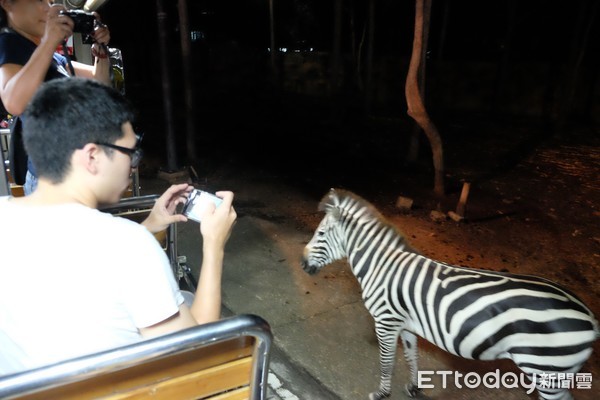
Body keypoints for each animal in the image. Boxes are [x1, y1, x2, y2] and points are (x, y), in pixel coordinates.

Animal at [302, 188, 596, 400]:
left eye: (321, 233)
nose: (303, 264)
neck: (381, 265)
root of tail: (591, 318)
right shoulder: (405, 324)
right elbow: (411, 356)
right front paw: (414, 388)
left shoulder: (385, 322)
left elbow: (387, 362)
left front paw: (381, 393)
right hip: (555, 373)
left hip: (546, 369)